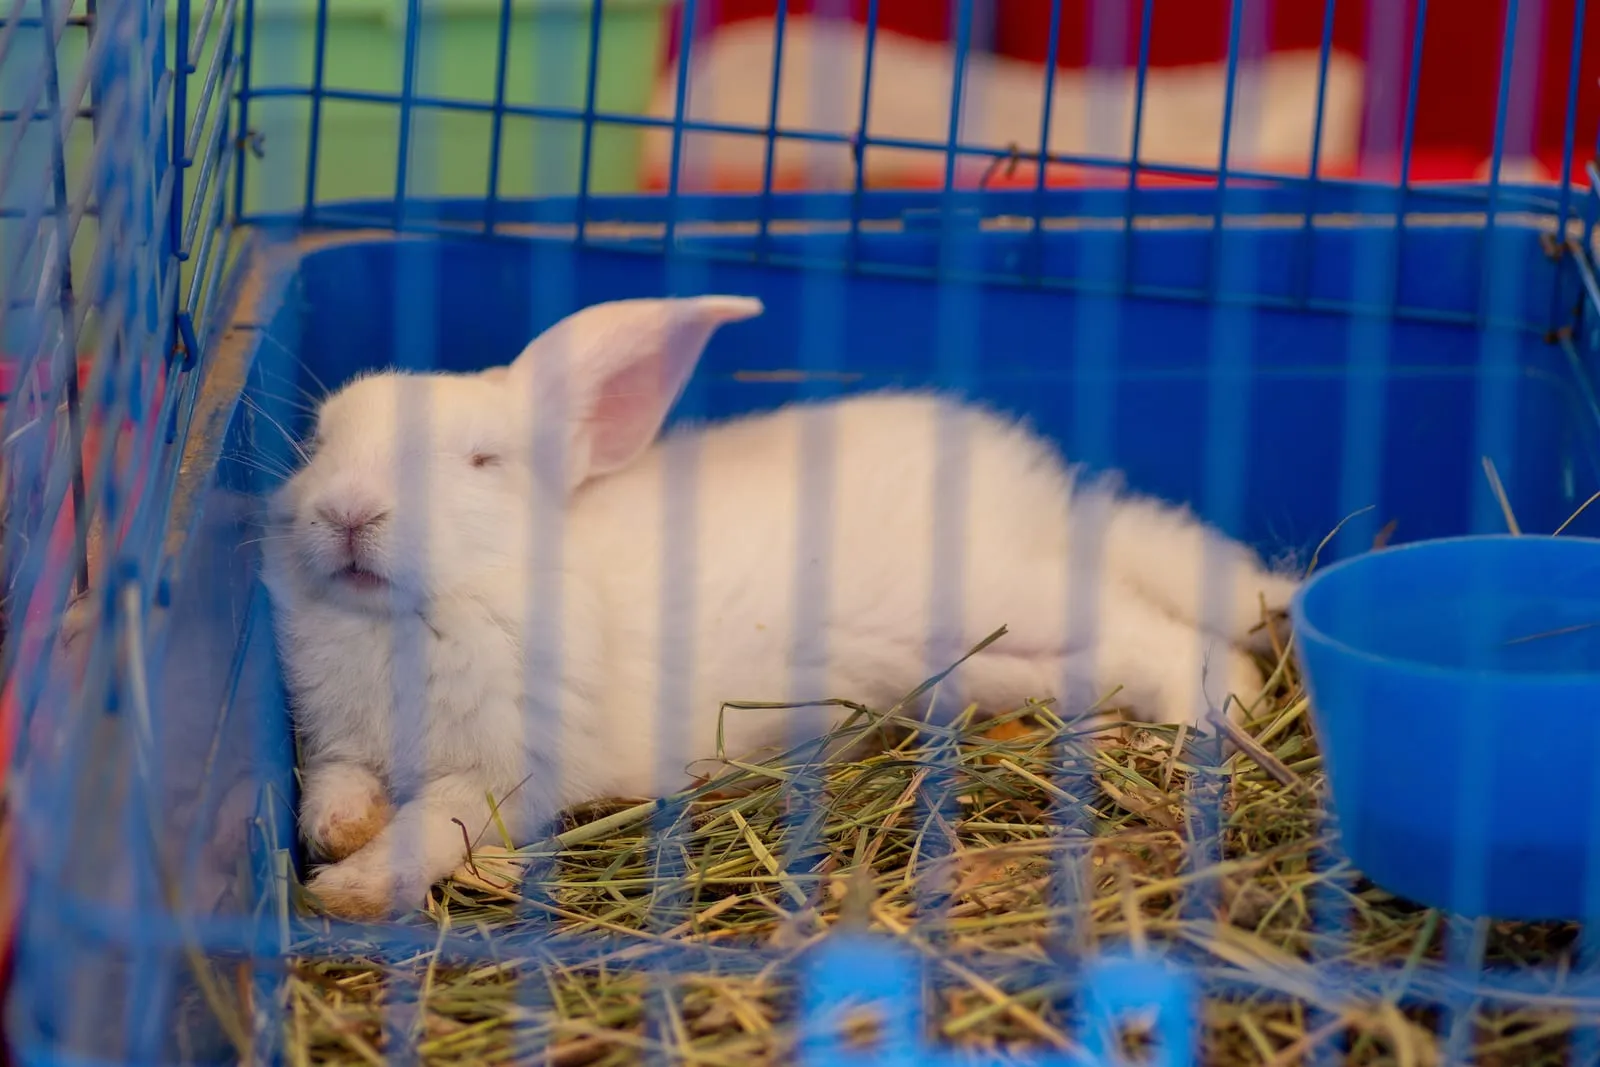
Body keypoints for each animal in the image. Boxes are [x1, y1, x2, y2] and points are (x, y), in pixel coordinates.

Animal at [261, 294, 1298, 921]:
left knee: (1166, 637)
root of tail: (1045, 497)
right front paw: (336, 836)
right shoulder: (339, 741)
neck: (413, 618)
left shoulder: (507, 775)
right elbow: (335, 787)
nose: (347, 511)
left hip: (1013, 603)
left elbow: (433, 829)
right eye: (318, 442)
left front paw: (350, 889)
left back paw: (1221, 717)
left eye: (482, 461)